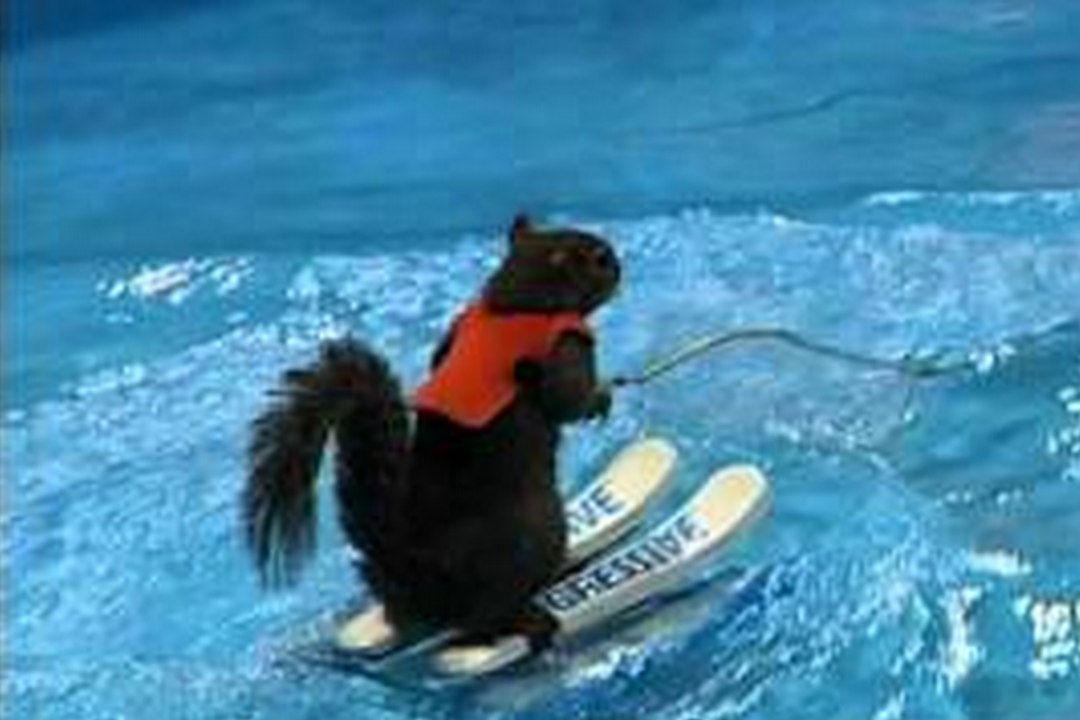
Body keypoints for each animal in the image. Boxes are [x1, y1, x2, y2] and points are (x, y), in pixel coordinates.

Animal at [243, 214, 621, 649]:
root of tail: (421, 586)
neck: (512, 304)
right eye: (599, 258)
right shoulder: (565, 346)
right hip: (536, 529)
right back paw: (531, 619)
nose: (619, 267)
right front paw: (601, 395)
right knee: (482, 623)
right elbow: (566, 399)